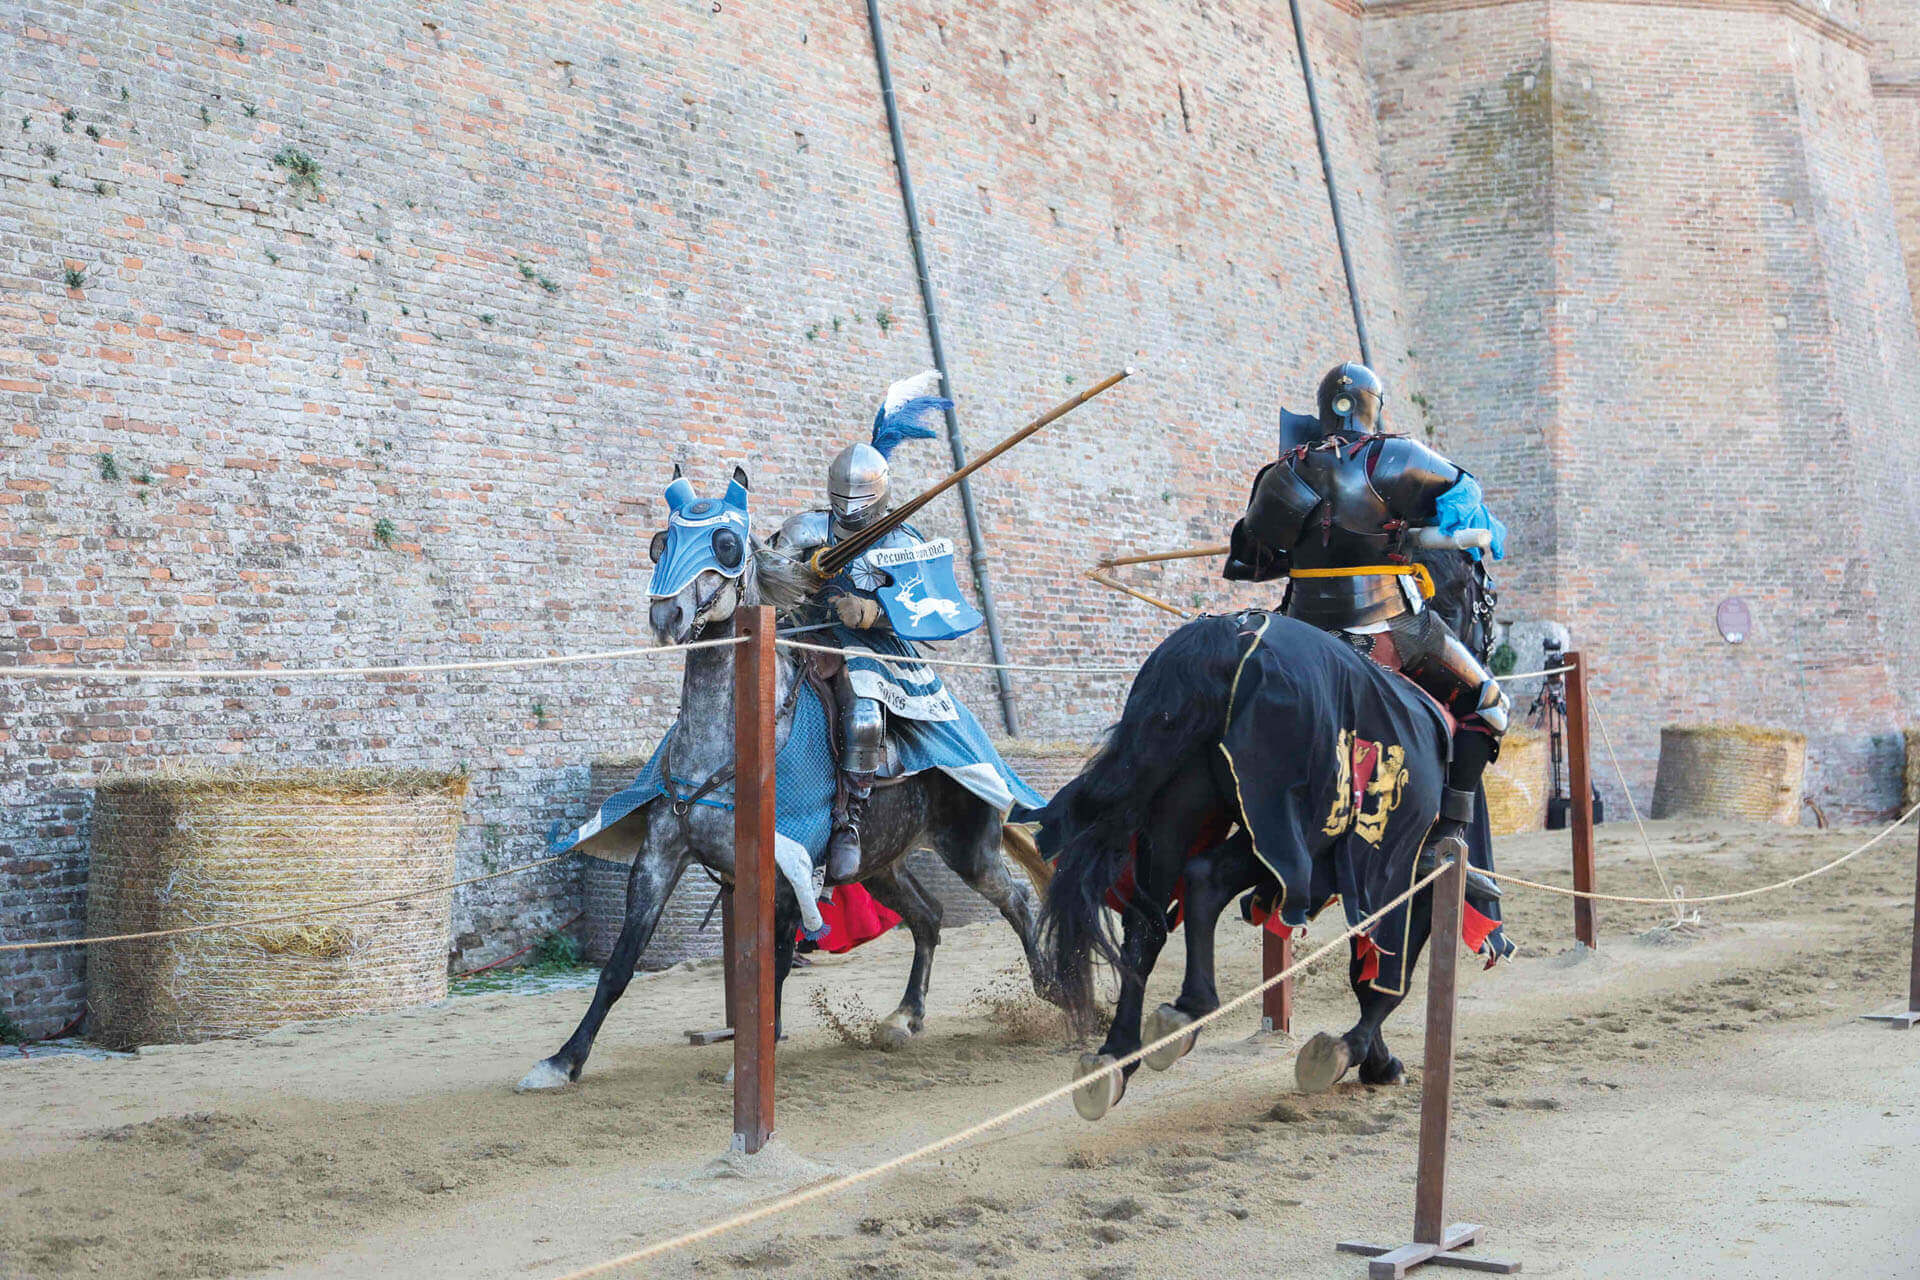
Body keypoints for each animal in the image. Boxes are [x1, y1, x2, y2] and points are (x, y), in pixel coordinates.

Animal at [1036, 552, 1497, 1120]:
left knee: (1147, 920)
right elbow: (1386, 978)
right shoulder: (1406, 878)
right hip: (1284, 835)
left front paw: (1372, 1058)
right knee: (1204, 879)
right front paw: (1356, 1054)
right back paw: (1187, 1011)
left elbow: (1368, 966)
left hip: (1174, 814)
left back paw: (1116, 1057)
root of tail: (1229, 642)